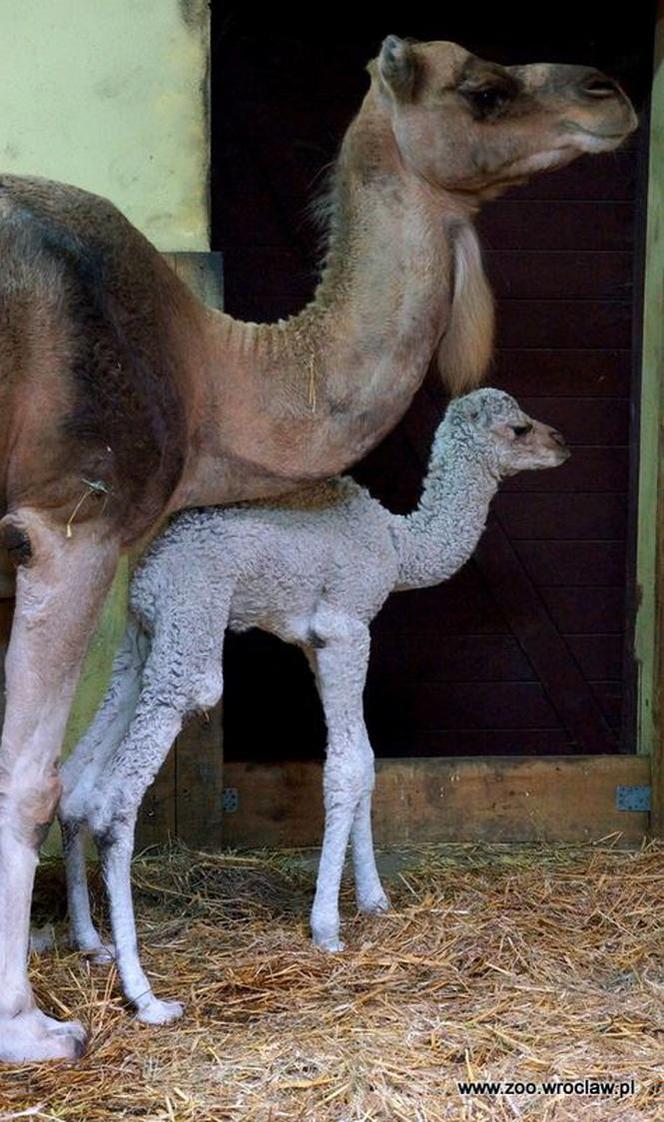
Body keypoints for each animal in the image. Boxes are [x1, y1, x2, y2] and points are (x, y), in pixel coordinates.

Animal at [59, 390, 565, 1023]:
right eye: (519, 429)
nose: (561, 443)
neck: (398, 545)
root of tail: (148, 571)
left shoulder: (313, 641)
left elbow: (366, 761)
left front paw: (374, 900)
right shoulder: (346, 627)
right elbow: (346, 768)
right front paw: (327, 928)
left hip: (141, 638)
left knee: (77, 780)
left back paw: (89, 942)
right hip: (192, 623)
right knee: (118, 796)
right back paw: (145, 995)